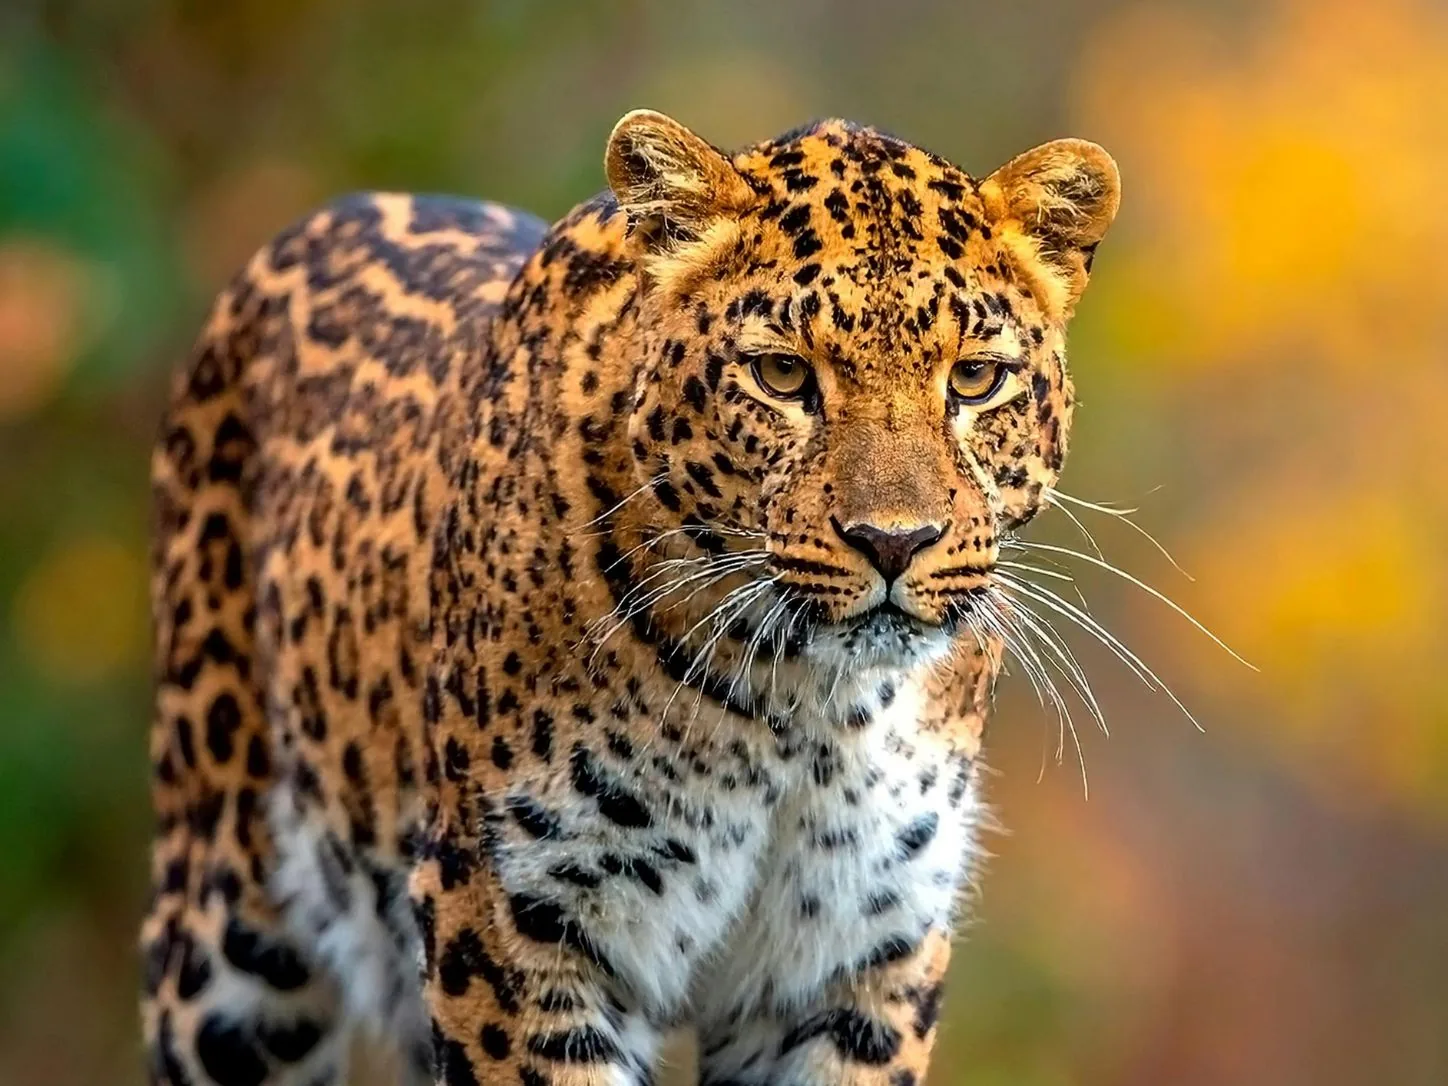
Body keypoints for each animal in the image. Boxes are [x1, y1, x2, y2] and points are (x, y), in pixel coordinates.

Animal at [141, 109, 1119, 1086]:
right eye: (783, 376)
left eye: (975, 380)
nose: (894, 540)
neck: (808, 706)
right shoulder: (512, 922)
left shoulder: (859, 951)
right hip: (227, 940)